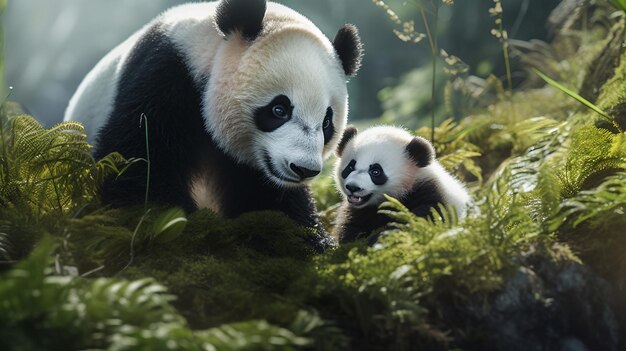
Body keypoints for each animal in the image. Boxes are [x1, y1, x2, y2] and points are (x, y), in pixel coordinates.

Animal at [63, 0, 364, 250]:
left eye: (326, 123)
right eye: (279, 109)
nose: (303, 169)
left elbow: (268, 199)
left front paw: (312, 242)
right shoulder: (165, 79)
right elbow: (139, 163)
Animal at [332, 126, 468, 245]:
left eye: (376, 171)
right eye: (350, 167)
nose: (353, 187)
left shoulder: (430, 190)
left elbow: (425, 217)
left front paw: (382, 237)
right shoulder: (359, 210)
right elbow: (351, 226)